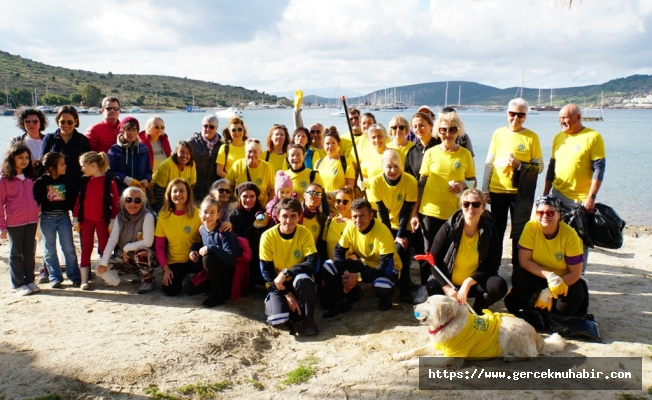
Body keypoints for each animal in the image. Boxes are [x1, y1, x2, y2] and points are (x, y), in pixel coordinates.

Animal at [392, 294, 564, 368]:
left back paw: (510, 357)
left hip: (510, 331)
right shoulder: (438, 345)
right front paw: (400, 355)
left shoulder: (452, 356)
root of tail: (537, 335)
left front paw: (406, 364)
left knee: (532, 355)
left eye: (428, 302)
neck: (449, 323)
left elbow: (423, 359)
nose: (414, 306)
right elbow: (416, 350)